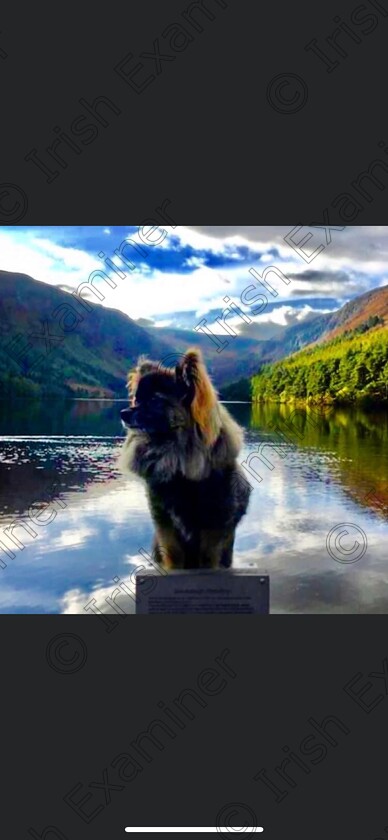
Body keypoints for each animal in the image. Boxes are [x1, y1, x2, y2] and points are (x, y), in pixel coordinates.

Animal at [119, 348, 252, 572]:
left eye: (155, 400)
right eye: (136, 400)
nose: (123, 413)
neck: (174, 454)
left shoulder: (214, 524)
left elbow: (209, 559)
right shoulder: (165, 523)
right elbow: (173, 556)